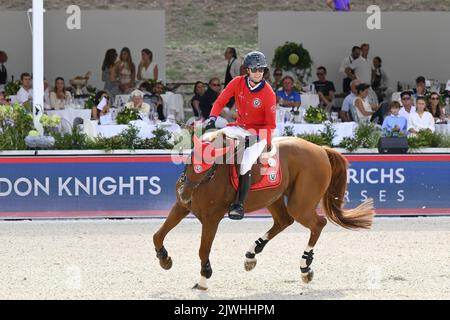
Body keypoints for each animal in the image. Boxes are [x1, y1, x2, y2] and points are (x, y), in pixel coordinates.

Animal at [153, 135, 374, 290]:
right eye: (190, 161)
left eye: (208, 168)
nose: (185, 194)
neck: (208, 181)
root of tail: (320, 148)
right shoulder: (181, 207)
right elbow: (158, 235)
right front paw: (164, 259)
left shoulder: (211, 219)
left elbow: (203, 250)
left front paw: (204, 279)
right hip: (274, 198)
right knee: (284, 221)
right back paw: (252, 254)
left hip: (300, 205)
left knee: (317, 224)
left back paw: (305, 266)